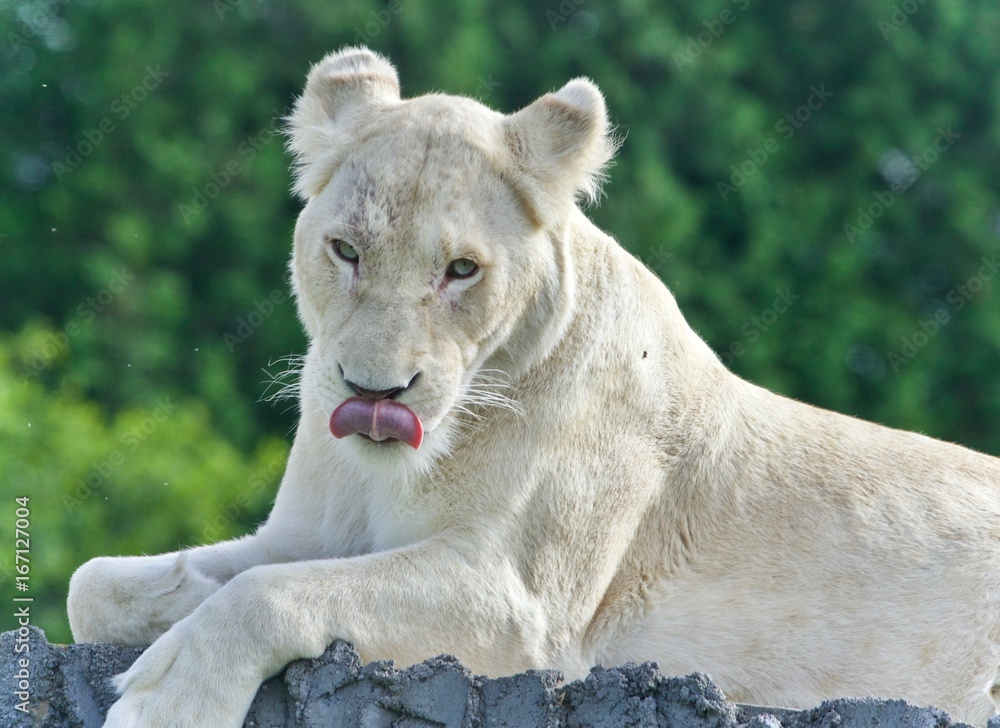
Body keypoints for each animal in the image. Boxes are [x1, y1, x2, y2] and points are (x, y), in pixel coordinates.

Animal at [68, 47, 1000, 727]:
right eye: (346, 251)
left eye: (460, 270)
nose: (376, 391)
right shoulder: (305, 534)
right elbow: (97, 585)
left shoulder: (521, 606)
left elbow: (272, 594)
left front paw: (168, 699)